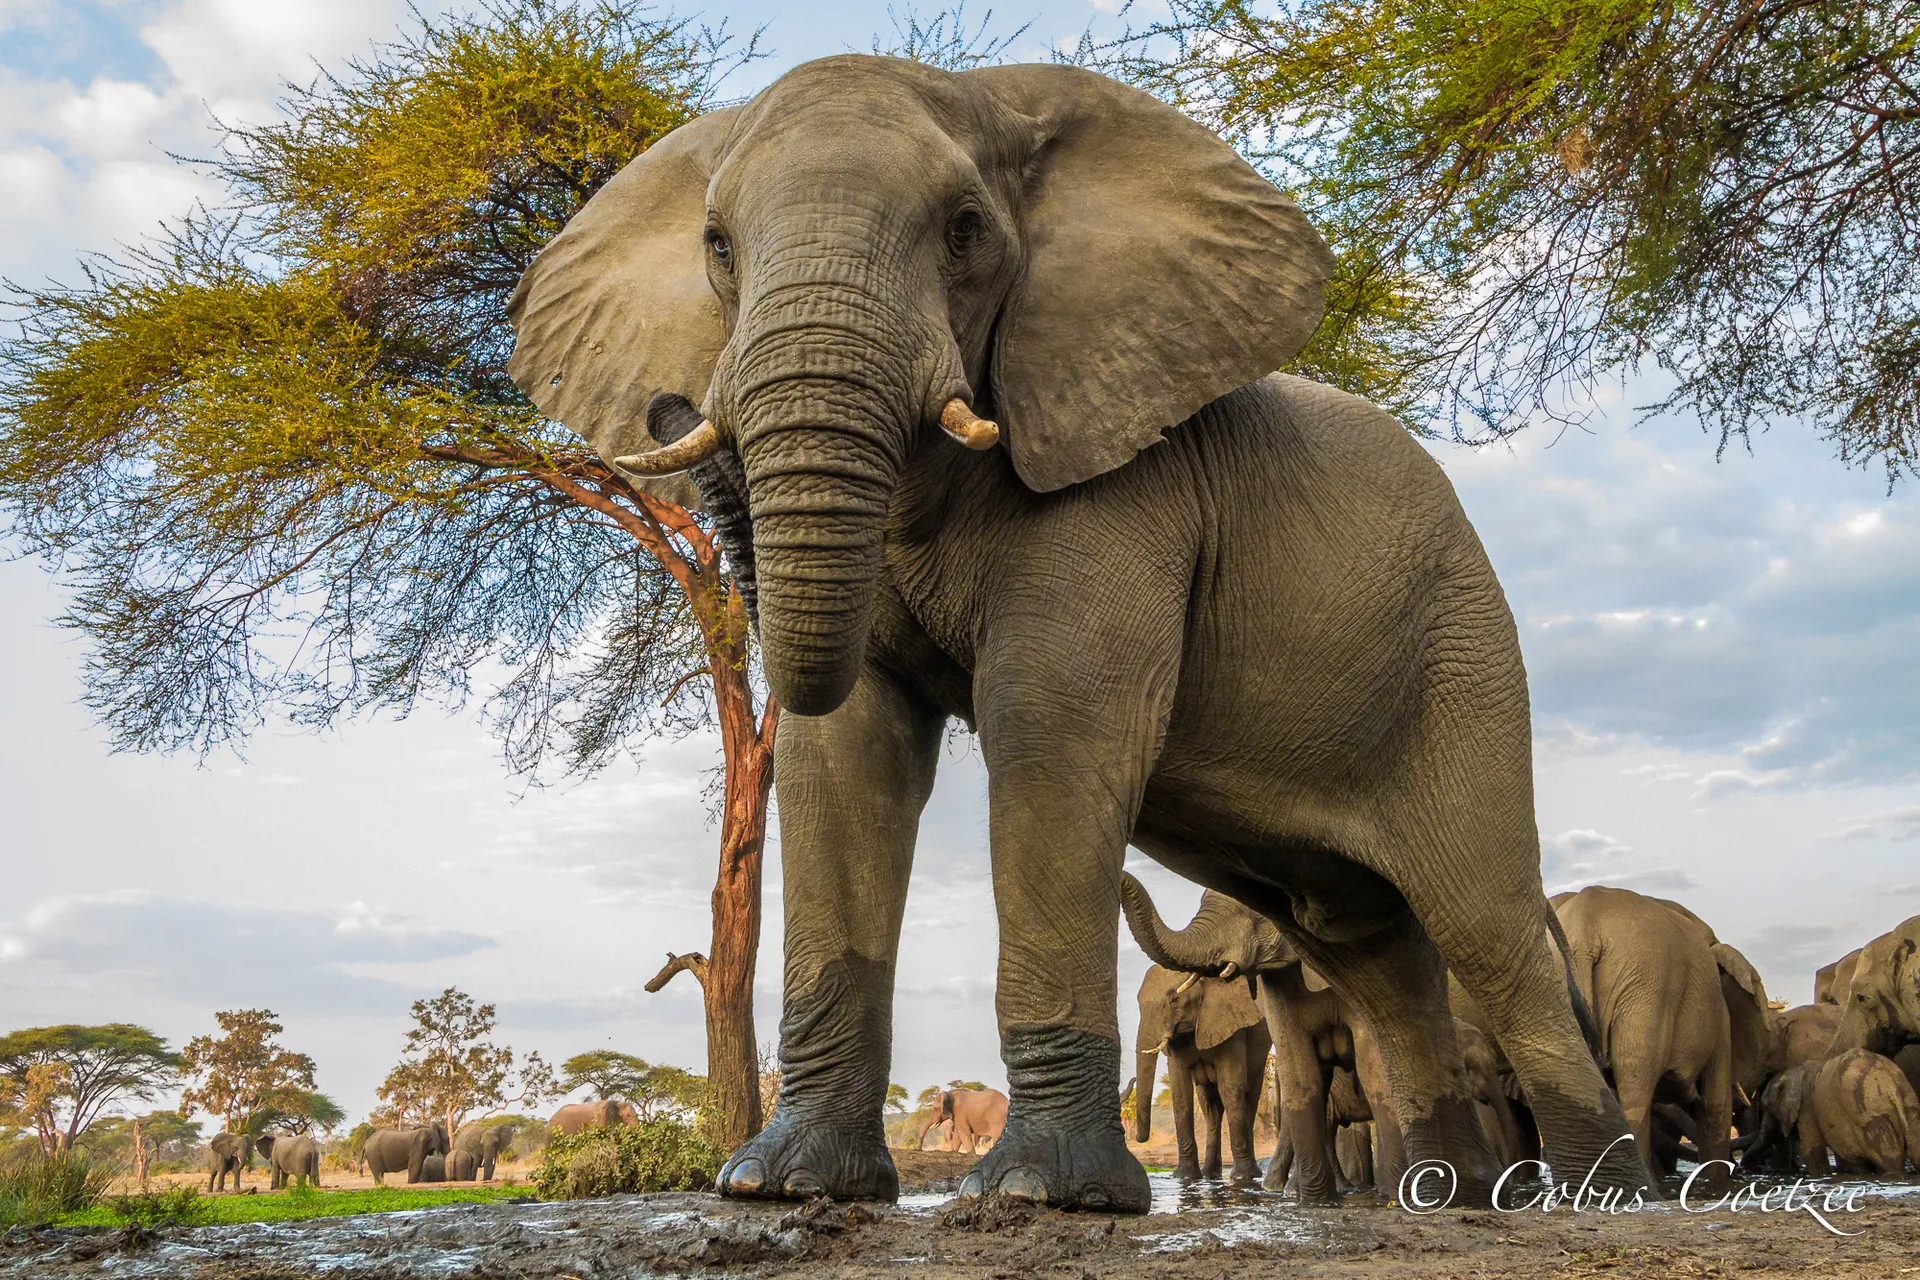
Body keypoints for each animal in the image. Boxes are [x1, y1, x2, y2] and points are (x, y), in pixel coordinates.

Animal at [1132, 965, 1272, 1183]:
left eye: (1175, 999)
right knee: (1210, 1108)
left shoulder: (1231, 1027)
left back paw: (1247, 1174)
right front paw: (1185, 1177)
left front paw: (1242, 1178)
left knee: (1248, 1098)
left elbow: (1231, 1090)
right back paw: (1209, 1175)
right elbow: (1181, 1094)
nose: (1140, 1139)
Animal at [1747, 1050, 1920, 1175]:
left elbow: (1814, 1153)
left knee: (1890, 1163)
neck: (1795, 1071)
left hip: (1871, 1114)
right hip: (1909, 1104)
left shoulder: (1806, 1110)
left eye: (1766, 1107)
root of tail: (1892, 1086)